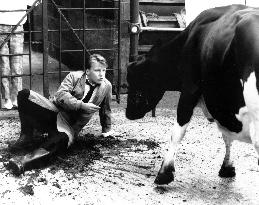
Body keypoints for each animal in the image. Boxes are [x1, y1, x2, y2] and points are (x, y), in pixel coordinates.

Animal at [126, 4, 259, 186]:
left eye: (137, 79)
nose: (128, 113)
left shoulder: (189, 89)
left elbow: (177, 131)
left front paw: (164, 172)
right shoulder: (223, 103)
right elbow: (227, 136)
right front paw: (228, 167)